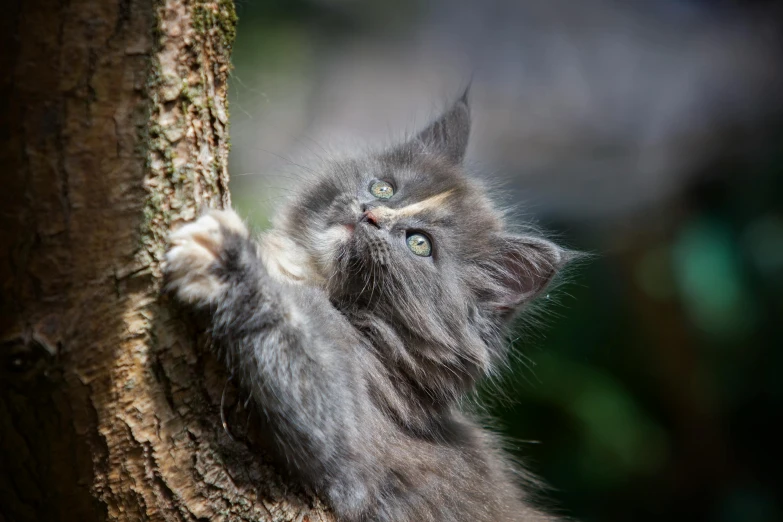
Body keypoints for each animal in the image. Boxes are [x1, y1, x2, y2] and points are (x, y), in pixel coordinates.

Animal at [165, 94, 572, 520]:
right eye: (383, 187)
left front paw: (227, 258)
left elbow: (291, 332)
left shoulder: (353, 442)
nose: (370, 213)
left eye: (419, 244)